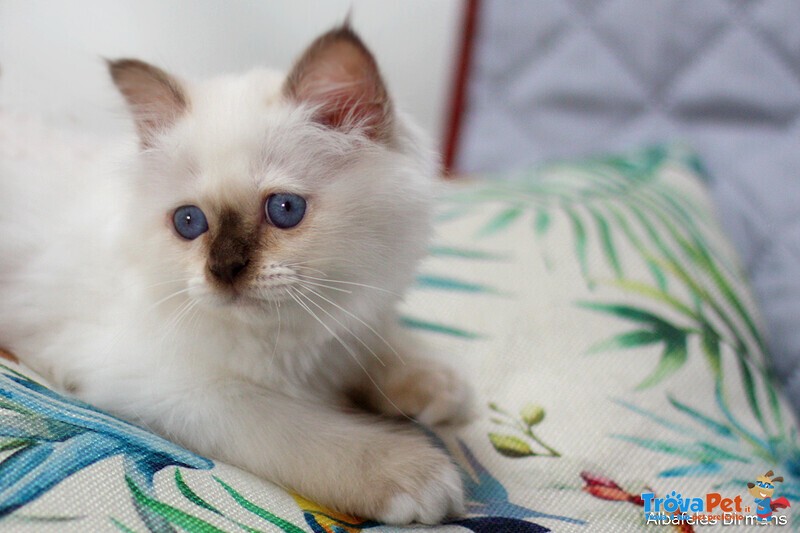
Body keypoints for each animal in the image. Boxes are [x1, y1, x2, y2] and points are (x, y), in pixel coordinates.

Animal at [0, 26, 472, 524]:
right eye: (189, 222)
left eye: (285, 209)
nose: (223, 270)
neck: (295, 342)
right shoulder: (185, 389)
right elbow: (304, 430)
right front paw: (413, 473)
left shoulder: (346, 321)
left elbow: (381, 344)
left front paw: (437, 384)